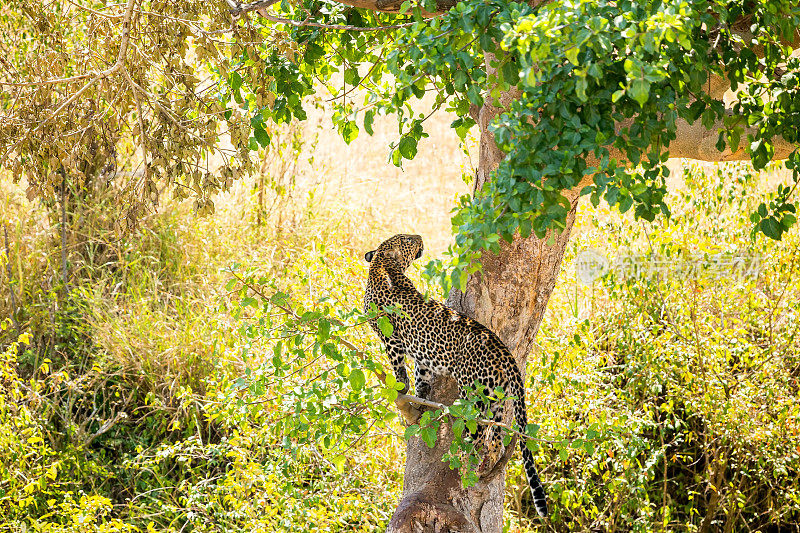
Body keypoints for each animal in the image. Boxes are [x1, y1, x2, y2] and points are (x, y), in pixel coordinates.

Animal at [364, 232, 548, 516]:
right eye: (407, 240)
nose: (419, 236)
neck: (379, 267)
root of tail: (505, 352)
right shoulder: (419, 354)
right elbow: (420, 373)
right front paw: (420, 397)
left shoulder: (391, 337)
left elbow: (399, 366)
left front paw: (401, 388)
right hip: (495, 396)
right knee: (494, 436)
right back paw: (487, 460)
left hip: (474, 395)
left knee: (478, 434)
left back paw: (463, 459)